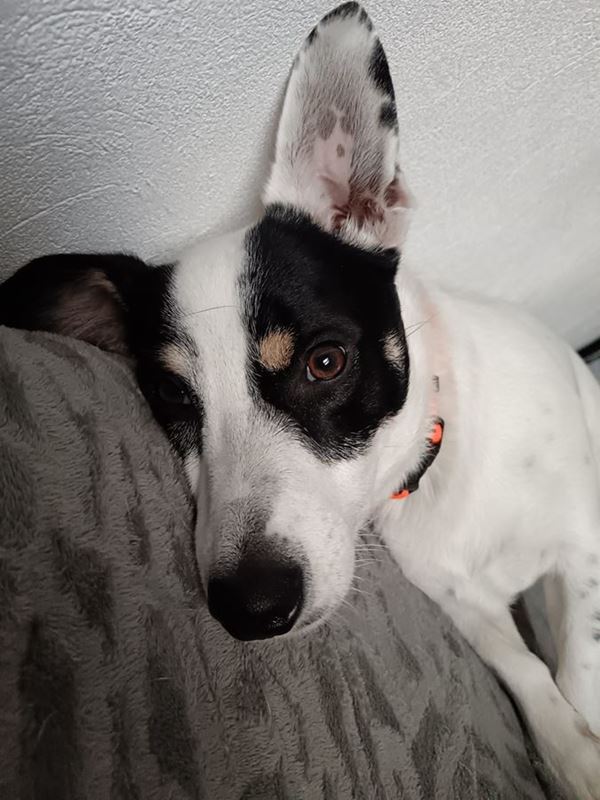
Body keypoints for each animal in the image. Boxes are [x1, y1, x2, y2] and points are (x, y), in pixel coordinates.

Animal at [1, 3, 599, 797]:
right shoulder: (463, 604)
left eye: (325, 362)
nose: (251, 609)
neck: (438, 467)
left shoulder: (584, 540)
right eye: (172, 397)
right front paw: (570, 753)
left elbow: (581, 666)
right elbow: (527, 669)